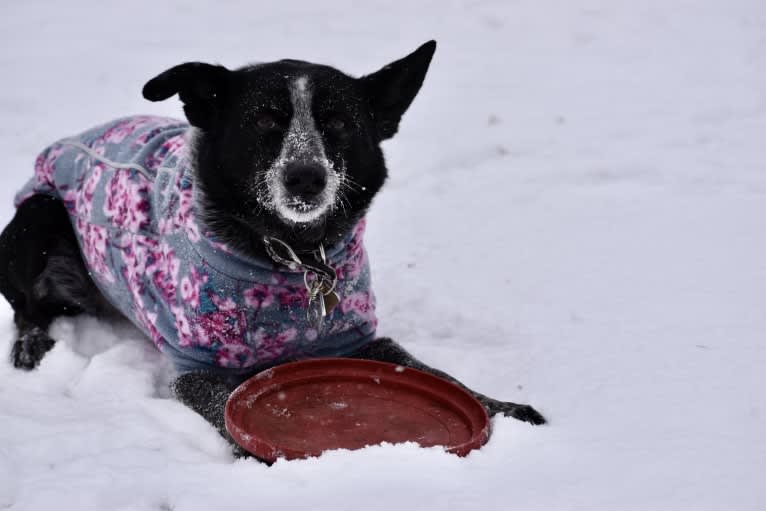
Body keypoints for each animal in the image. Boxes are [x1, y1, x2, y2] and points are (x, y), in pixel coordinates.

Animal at [1, 42, 552, 452]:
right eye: (264, 120)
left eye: (339, 122)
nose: (305, 177)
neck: (292, 256)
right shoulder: (195, 366)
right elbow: (226, 411)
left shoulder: (355, 340)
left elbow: (437, 375)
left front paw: (503, 408)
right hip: (38, 217)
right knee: (28, 307)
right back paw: (31, 346)